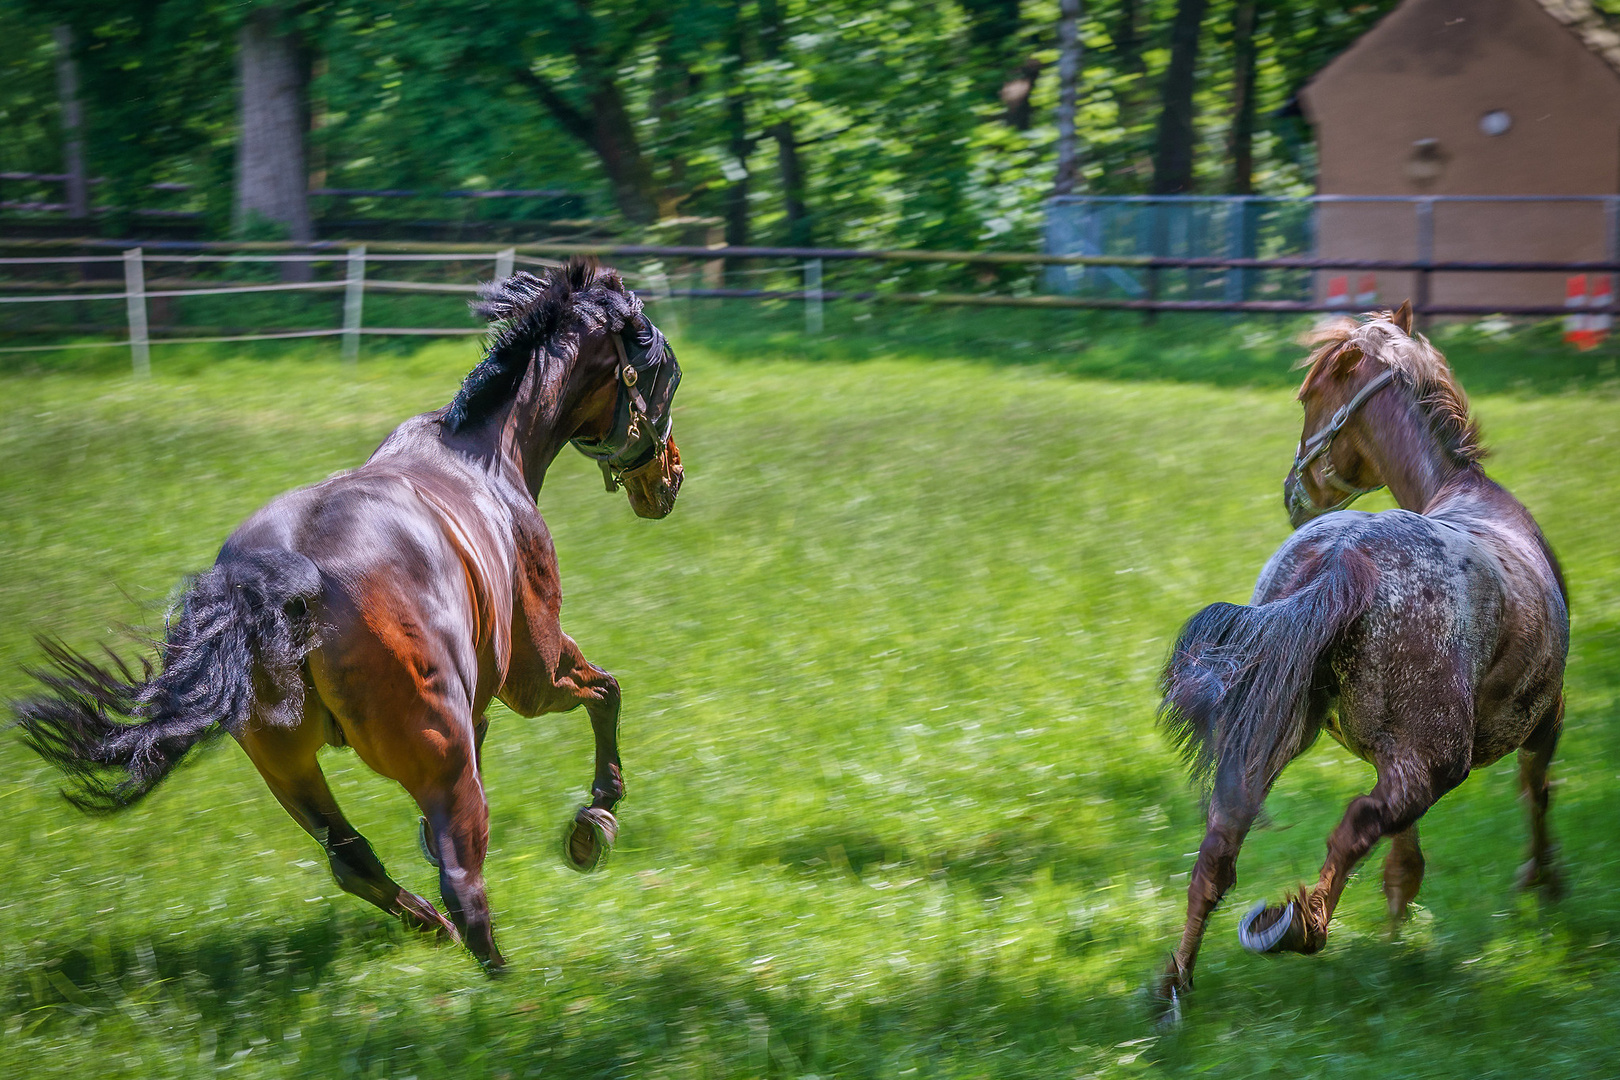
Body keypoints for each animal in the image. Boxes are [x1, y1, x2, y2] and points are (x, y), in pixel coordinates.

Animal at [7, 259, 677, 971]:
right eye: (662, 368)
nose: (669, 479)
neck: (487, 454)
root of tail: (281, 577)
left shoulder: (479, 705)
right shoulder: (535, 673)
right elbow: (605, 691)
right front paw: (596, 819)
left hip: (288, 766)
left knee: (354, 859)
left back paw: (428, 925)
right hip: (438, 752)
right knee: (462, 871)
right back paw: (500, 974)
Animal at [1153, 302, 1568, 1016]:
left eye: (1309, 397)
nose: (1292, 492)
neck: (1467, 492)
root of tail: (1343, 559)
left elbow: (1407, 860)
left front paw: (1401, 930)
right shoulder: (1546, 717)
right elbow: (1533, 792)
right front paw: (1542, 882)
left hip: (1266, 739)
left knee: (1218, 849)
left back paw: (1176, 985)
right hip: (1436, 763)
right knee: (1354, 825)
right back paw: (1297, 925)